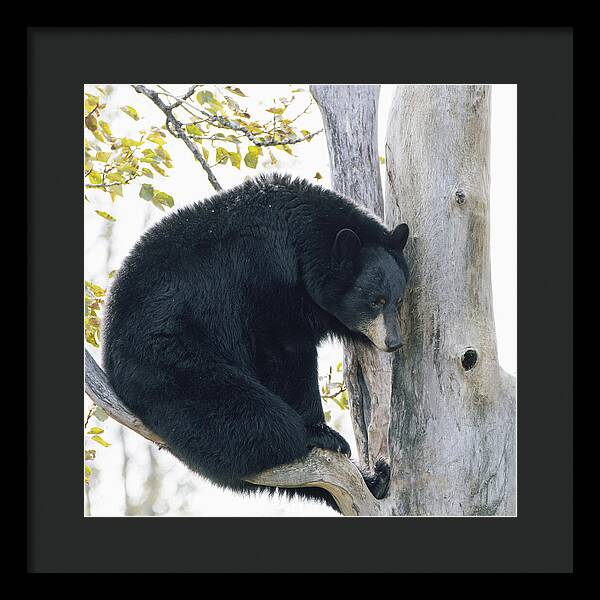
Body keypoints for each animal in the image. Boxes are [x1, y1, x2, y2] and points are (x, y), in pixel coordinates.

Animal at [104, 173, 408, 510]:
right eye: (375, 301)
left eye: (398, 300)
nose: (394, 342)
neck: (301, 243)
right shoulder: (265, 280)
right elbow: (284, 353)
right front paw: (320, 429)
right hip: (170, 359)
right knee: (252, 418)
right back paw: (308, 438)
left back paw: (375, 479)